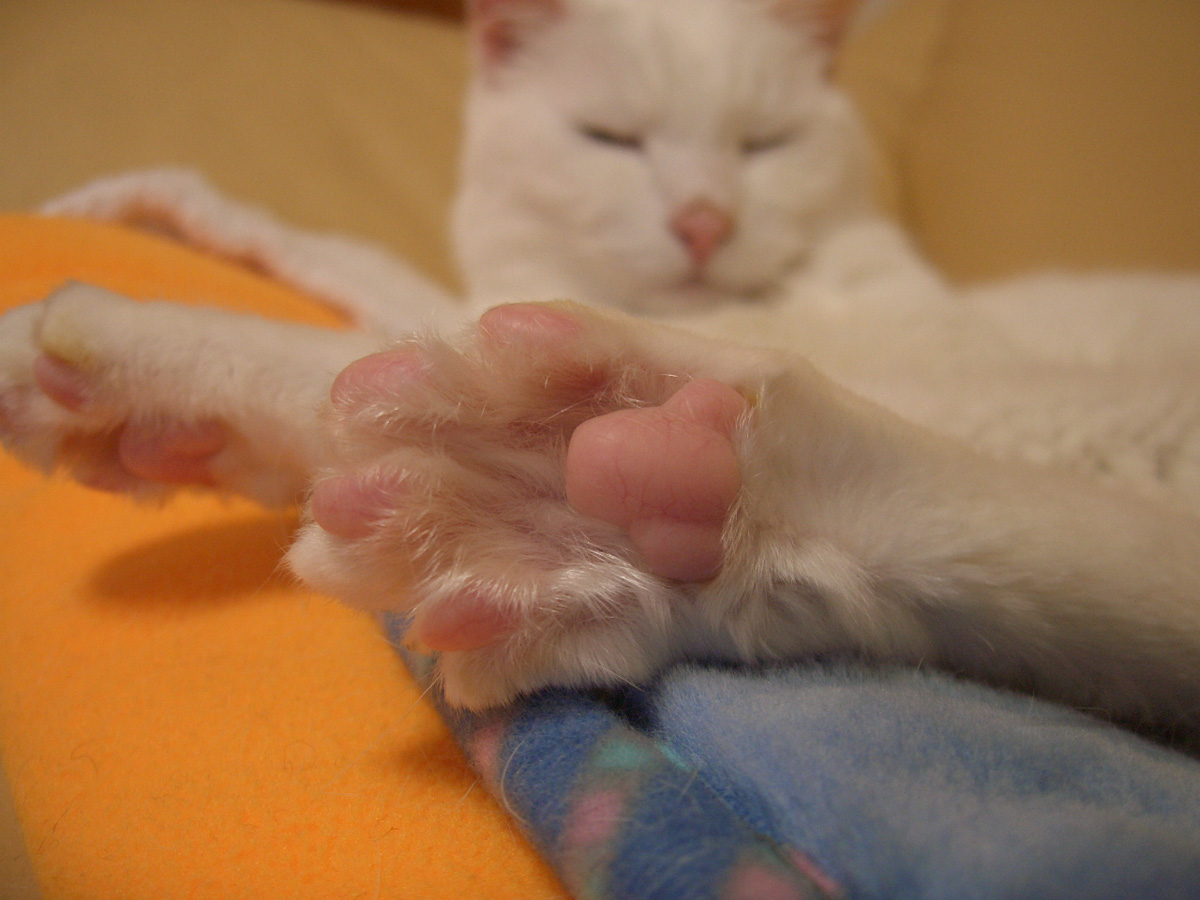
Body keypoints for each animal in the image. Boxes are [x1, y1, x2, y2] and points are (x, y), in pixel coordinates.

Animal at [1, 0, 1199, 740]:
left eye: (766, 143)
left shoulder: (947, 358)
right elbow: (385, 302)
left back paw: (554, 469)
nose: (705, 220)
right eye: (611, 138)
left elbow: (373, 321)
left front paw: (110, 308)